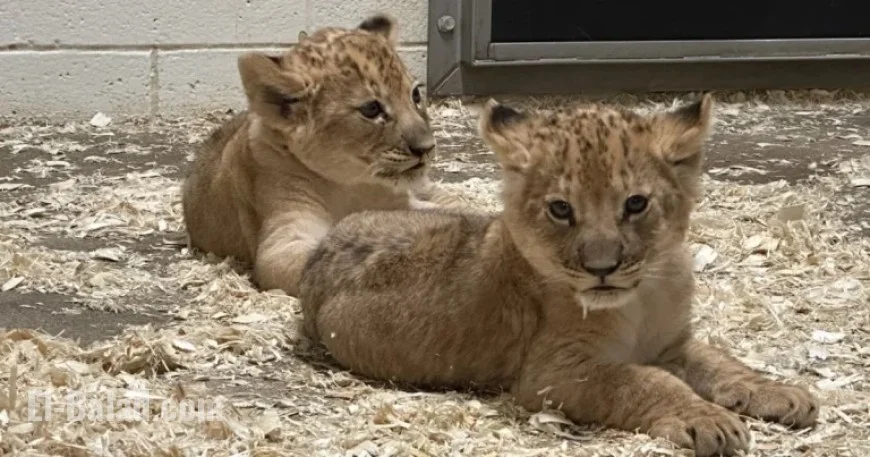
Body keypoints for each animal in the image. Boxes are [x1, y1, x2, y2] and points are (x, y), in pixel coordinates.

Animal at [181, 14, 463, 297]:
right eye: (371, 109)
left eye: (415, 94)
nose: (427, 147)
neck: (350, 185)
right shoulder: (284, 239)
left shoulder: (401, 202)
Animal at [297, 94, 819, 456]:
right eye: (561, 209)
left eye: (636, 204)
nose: (602, 270)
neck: (644, 296)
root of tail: (323, 245)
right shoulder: (553, 375)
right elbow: (644, 381)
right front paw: (708, 420)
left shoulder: (672, 343)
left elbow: (721, 363)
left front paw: (783, 393)